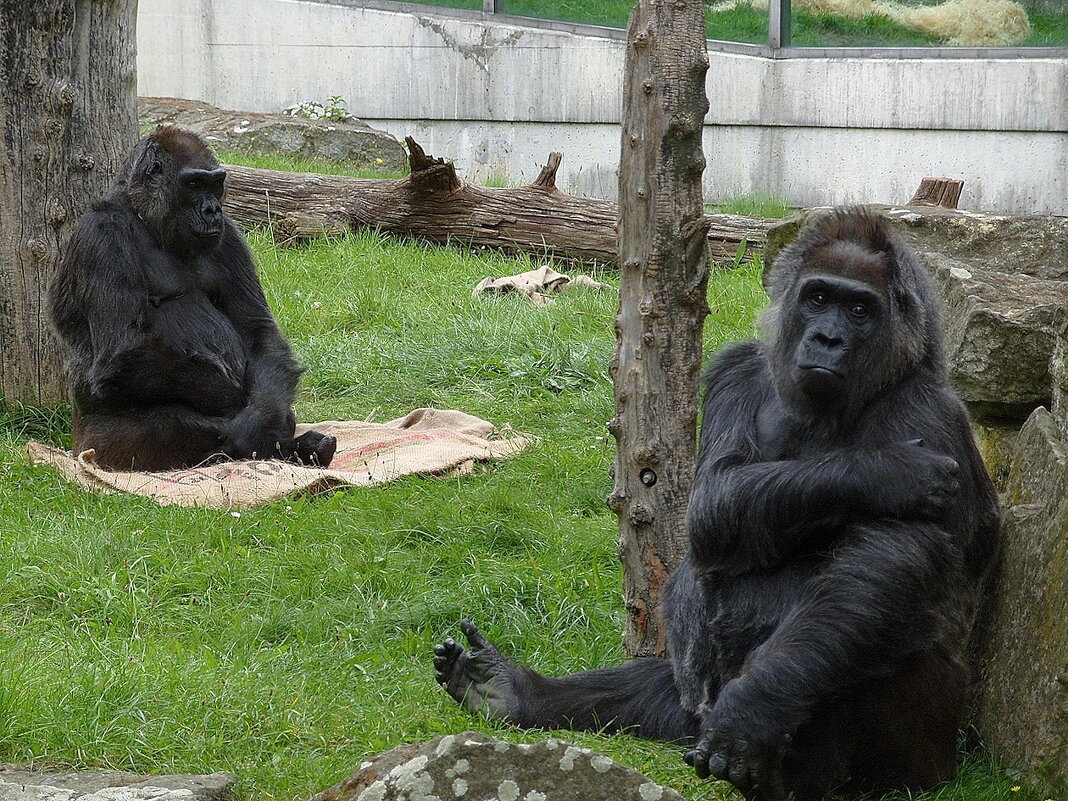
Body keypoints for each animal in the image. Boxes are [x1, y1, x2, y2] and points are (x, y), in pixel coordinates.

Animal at [48, 127, 333, 469]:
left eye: (215, 184)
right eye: (194, 184)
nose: (212, 210)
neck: (145, 217)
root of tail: (75, 448)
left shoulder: (230, 236)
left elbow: (258, 332)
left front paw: (263, 419)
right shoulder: (102, 236)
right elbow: (123, 348)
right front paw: (246, 419)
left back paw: (303, 448)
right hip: (93, 447)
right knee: (165, 429)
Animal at [433, 208, 999, 801]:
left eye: (860, 309)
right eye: (818, 298)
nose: (827, 338)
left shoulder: (926, 409)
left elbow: (885, 561)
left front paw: (757, 705)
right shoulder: (738, 369)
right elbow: (712, 503)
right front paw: (885, 471)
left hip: (926, 760)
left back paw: (786, 779)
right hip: (690, 716)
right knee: (667, 688)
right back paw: (510, 690)